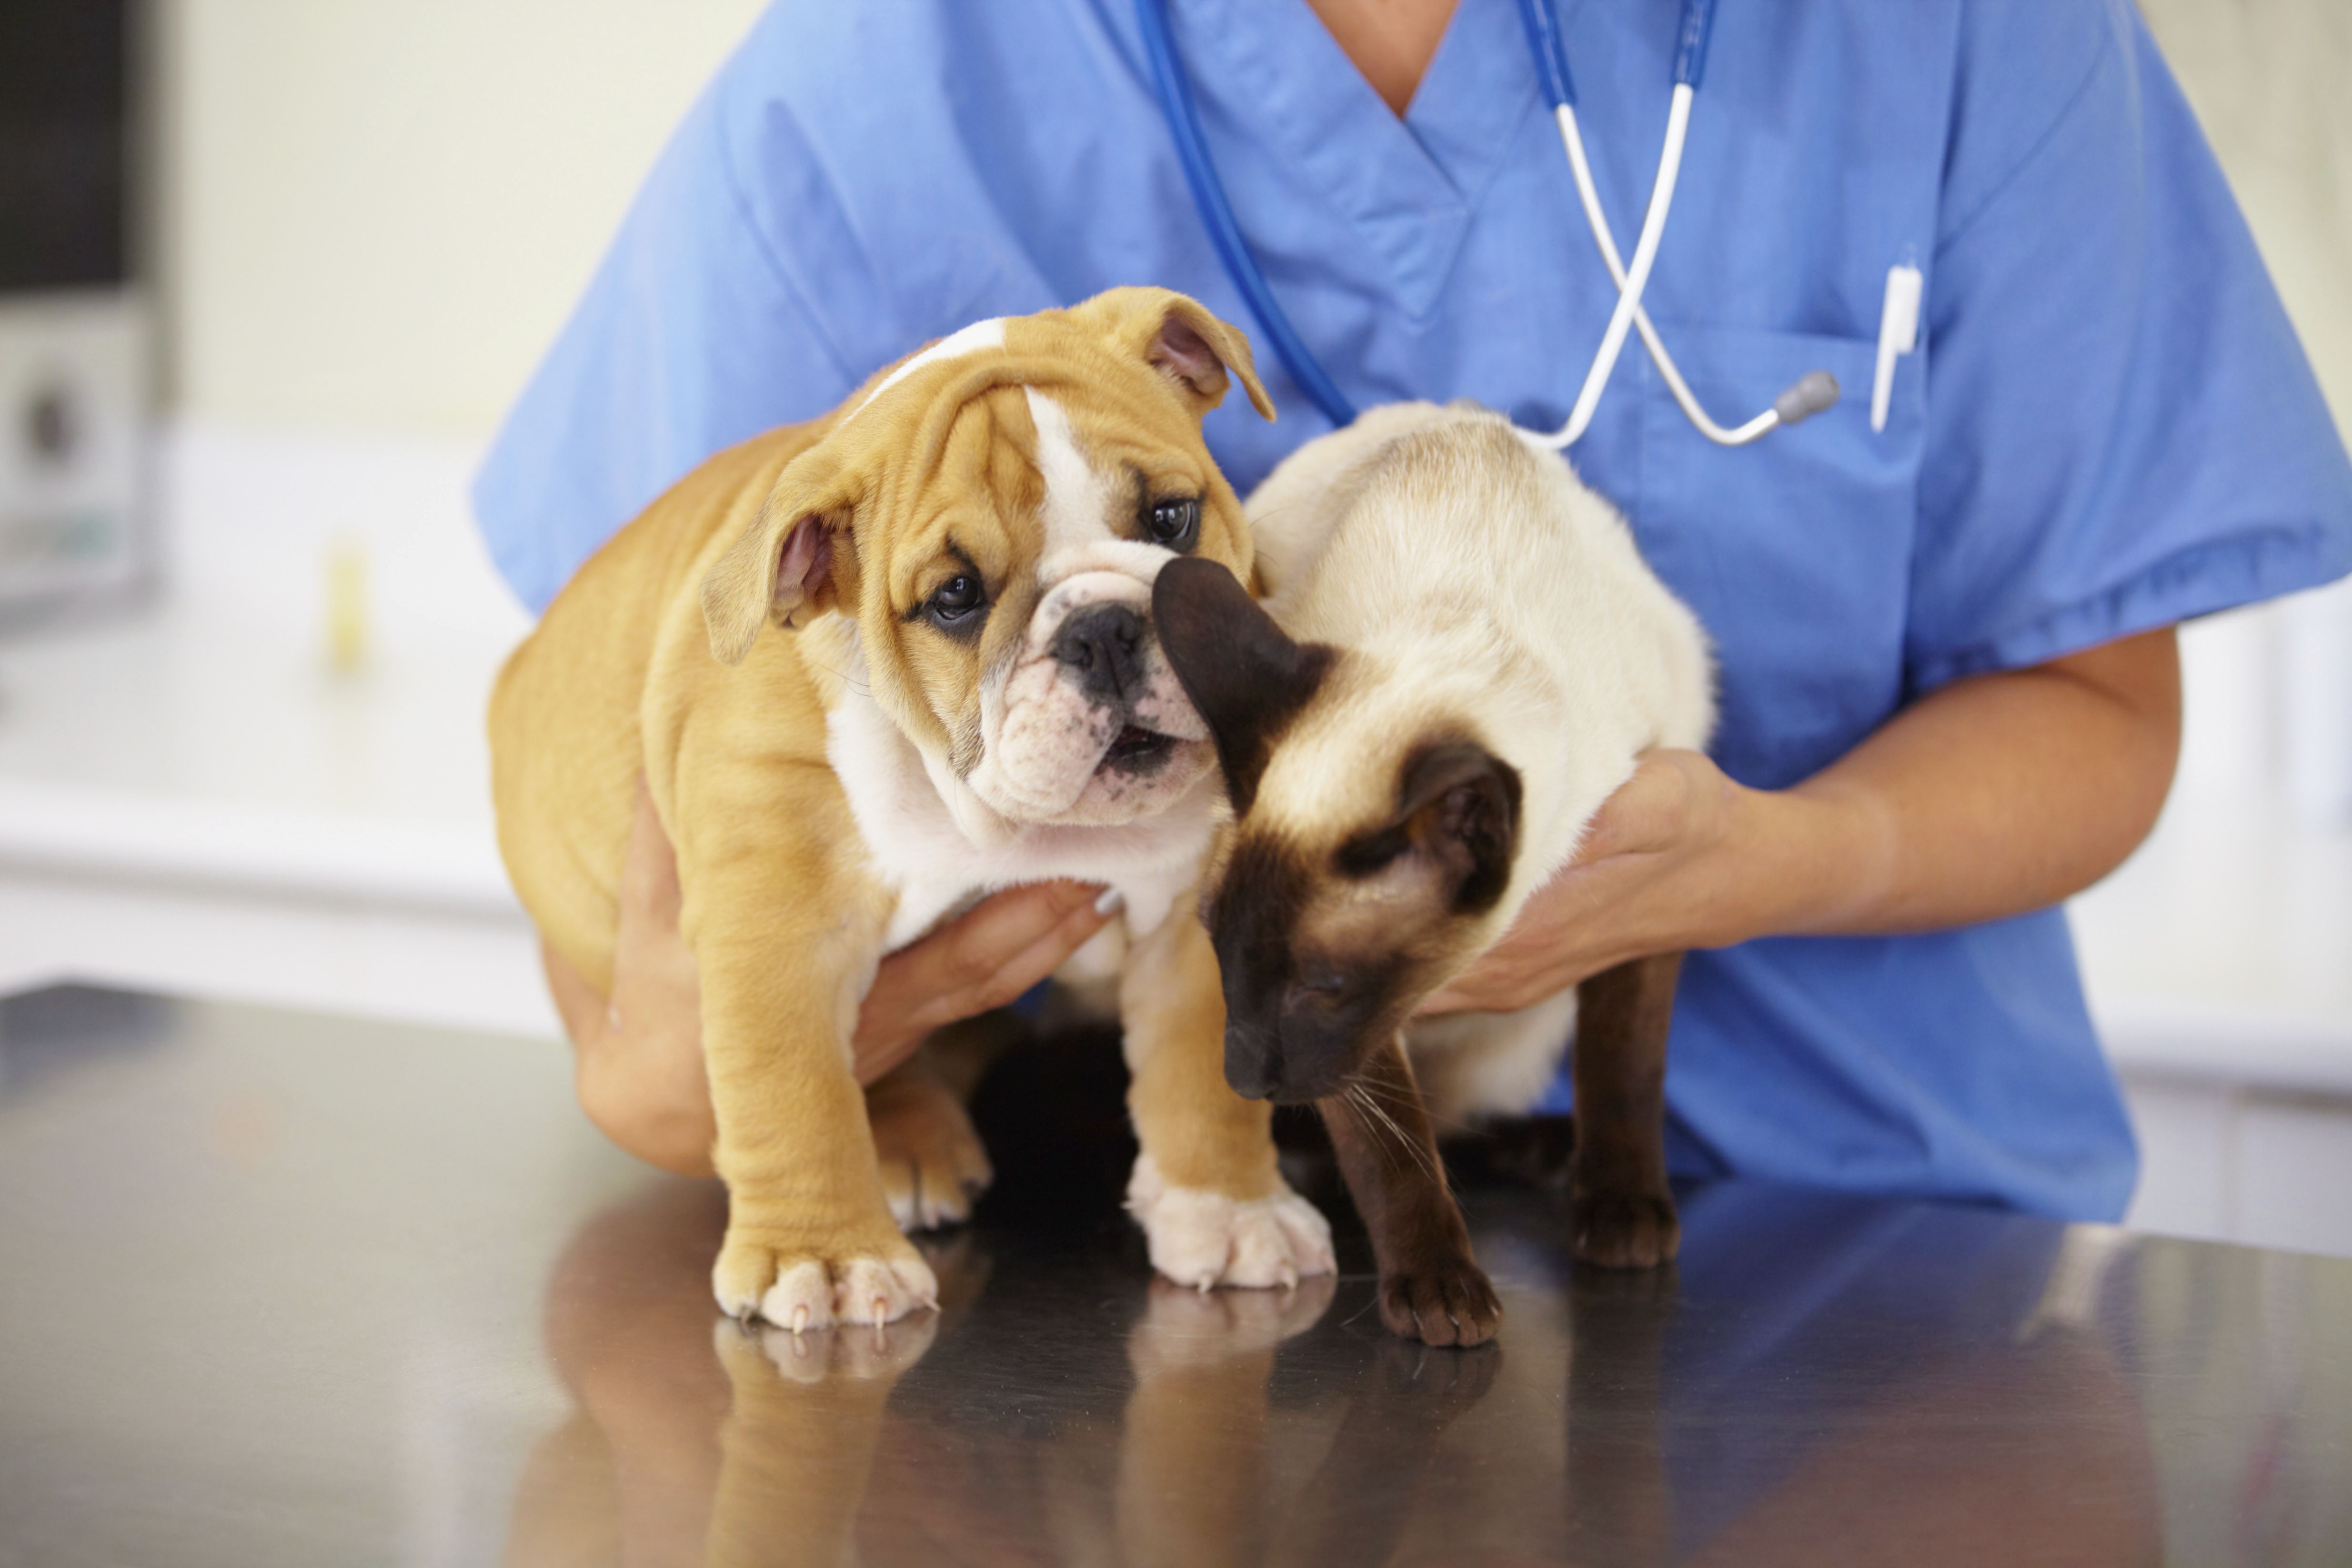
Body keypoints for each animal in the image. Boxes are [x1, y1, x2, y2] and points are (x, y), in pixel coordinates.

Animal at [492, 291, 1345, 1335]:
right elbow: (791, 1086)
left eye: (1170, 517)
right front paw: (821, 1255)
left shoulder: (1190, 910)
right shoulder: (779, 926)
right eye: (955, 597)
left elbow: (1202, 1071)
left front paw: (1230, 1208)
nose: (1103, 629)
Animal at [1152, 400, 1712, 1345]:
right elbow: (1390, 1150)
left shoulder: (1649, 885)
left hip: (1515, 1040)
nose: (1246, 1081)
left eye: (1322, 984)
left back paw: (1545, 1154)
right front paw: (1440, 1294)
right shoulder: (1357, 1042)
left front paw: (1623, 1213)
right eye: (1223, 958)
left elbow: (1624, 1065)